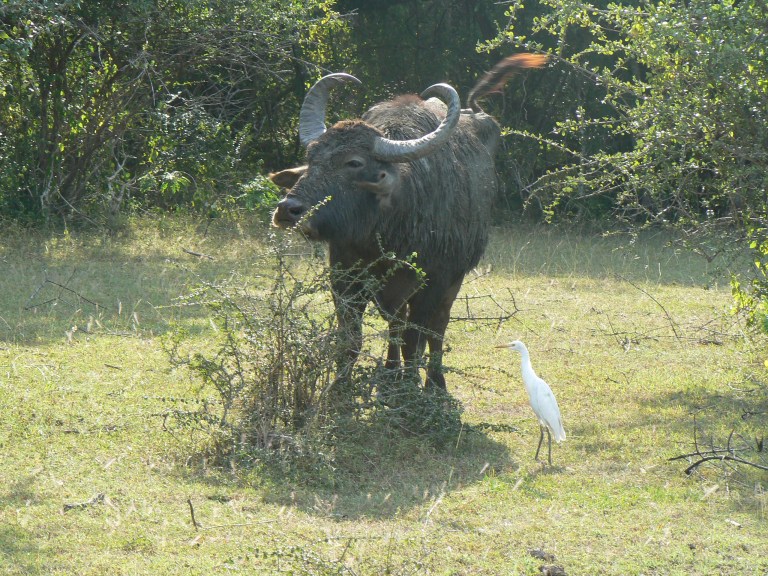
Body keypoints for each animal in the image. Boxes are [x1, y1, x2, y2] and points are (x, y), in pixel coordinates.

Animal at [270, 54, 547, 396]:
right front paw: (340, 389)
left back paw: (433, 382)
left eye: (354, 163)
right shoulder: (344, 276)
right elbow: (352, 338)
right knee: (397, 322)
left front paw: (414, 388)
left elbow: (415, 337)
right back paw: (391, 374)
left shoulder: (433, 281)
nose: (288, 209)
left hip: (452, 280)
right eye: (312, 157)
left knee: (435, 327)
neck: (385, 233)